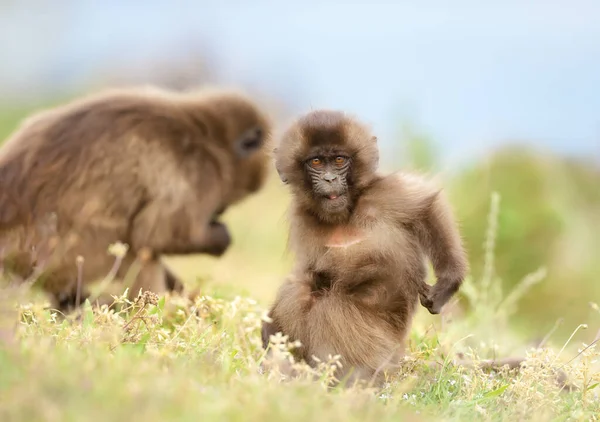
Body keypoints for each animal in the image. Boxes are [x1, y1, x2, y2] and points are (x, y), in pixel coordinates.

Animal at [0, 85, 272, 312]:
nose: (218, 214)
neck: (207, 138)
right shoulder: (196, 172)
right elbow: (156, 234)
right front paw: (221, 238)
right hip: (59, 256)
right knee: (137, 250)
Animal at [262, 109, 468, 386]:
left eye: (339, 160)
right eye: (316, 162)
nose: (330, 178)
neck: (345, 213)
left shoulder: (383, 193)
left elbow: (427, 205)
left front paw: (447, 282)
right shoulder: (302, 216)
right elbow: (310, 273)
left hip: (383, 346)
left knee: (327, 307)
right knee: (302, 292)